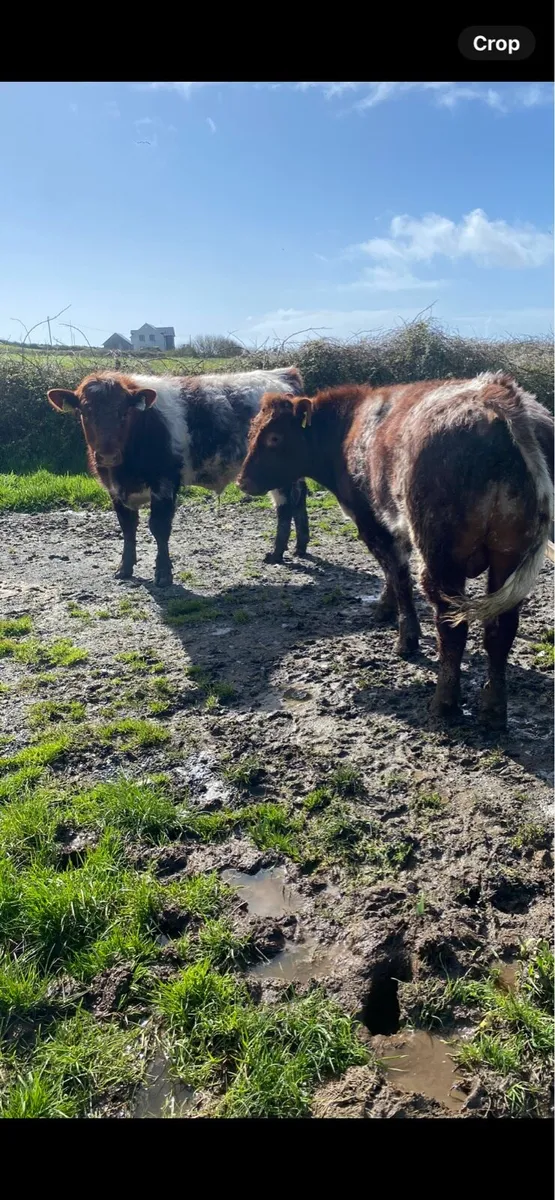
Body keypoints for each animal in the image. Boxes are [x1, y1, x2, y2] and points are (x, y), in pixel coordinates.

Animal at [47, 367, 310, 586]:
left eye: (124, 412)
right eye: (85, 412)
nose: (108, 455)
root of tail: (284, 374)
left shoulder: (164, 483)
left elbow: (159, 527)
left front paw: (163, 574)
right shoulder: (114, 489)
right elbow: (128, 528)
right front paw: (125, 569)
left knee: (285, 506)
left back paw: (276, 553)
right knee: (300, 498)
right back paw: (300, 546)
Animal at [237, 372, 554, 730]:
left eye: (274, 437)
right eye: (252, 432)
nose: (242, 481)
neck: (350, 426)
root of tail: (496, 393)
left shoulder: (372, 520)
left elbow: (398, 575)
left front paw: (406, 637)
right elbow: (393, 575)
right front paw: (385, 607)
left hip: (441, 556)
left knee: (451, 626)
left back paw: (444, 703)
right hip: (508, 554)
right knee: (501, 629)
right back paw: (493, 709)